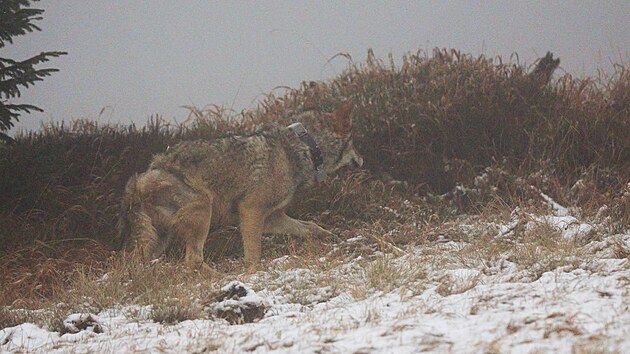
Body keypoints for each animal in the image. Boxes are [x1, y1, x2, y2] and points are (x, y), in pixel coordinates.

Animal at [119, 103, 366, 272]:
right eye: (354, 143)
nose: (363, 160)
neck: (302, 149)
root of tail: (138, 179)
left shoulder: (273, 218)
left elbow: (310, 227)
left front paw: (330, 237)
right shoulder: (251, 211)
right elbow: (254, 255)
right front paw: (253, 274)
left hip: (158, 240)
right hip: (203, 210)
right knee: (193, 260)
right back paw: (223, 278)